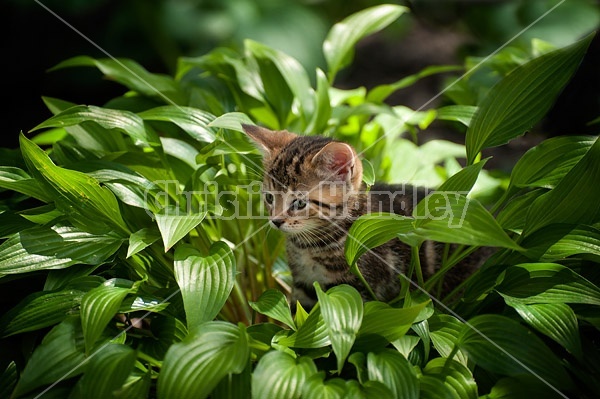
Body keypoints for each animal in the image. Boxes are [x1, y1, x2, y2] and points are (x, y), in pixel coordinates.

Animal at [241, 125, 490, 312]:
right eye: (269, 198)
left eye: (299, 203)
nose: (276, 221)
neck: (310, 246)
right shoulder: (304, 286)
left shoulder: (356, 289)